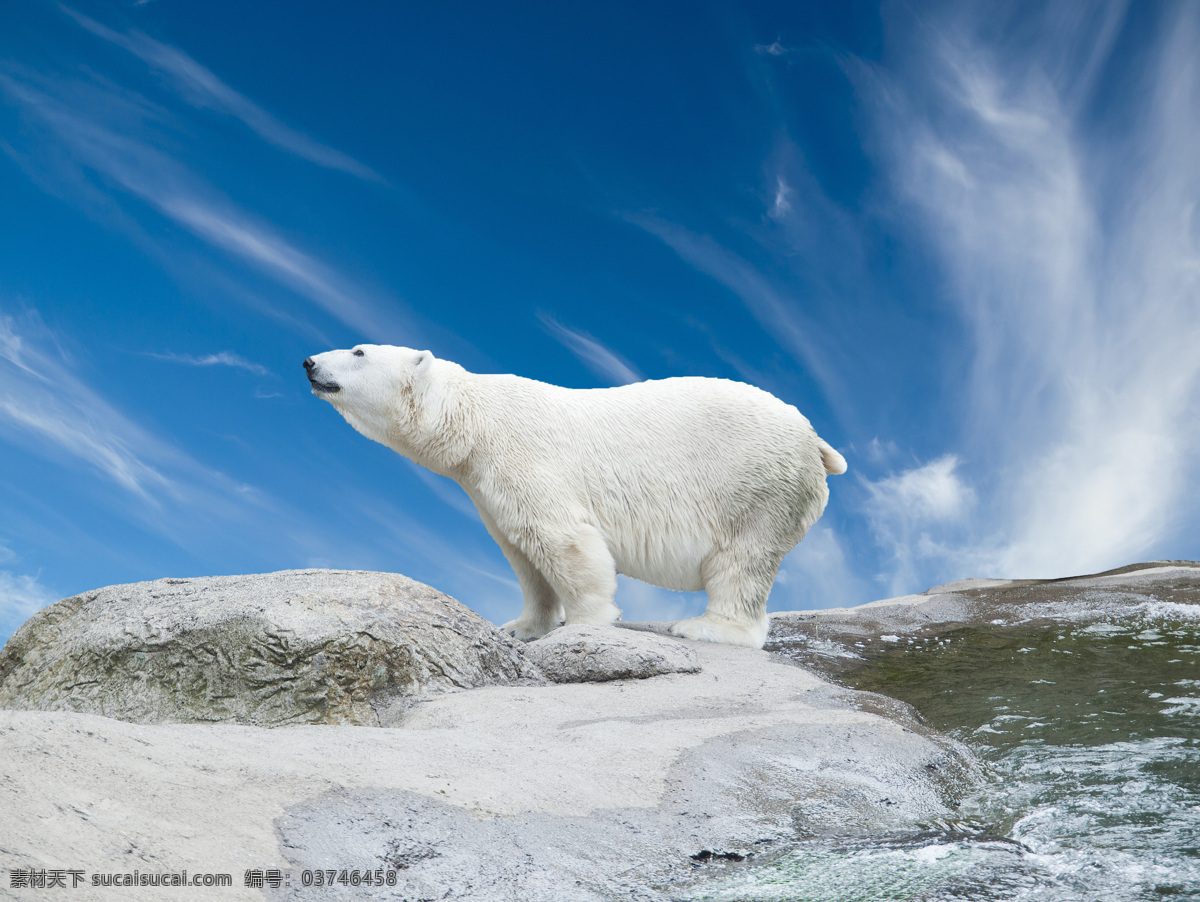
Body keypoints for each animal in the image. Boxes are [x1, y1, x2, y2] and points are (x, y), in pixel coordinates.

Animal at [302, 345, 844, 647]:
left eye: (359, 352)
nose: (308, 362)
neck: (474, 420)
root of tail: (815, 438)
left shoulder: (526, 458)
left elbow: (562, 540)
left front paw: (589, 623)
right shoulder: (485, 485)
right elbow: (521, 552)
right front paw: (522, 626)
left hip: (755, 487)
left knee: (741, 561)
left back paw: (706, 628)